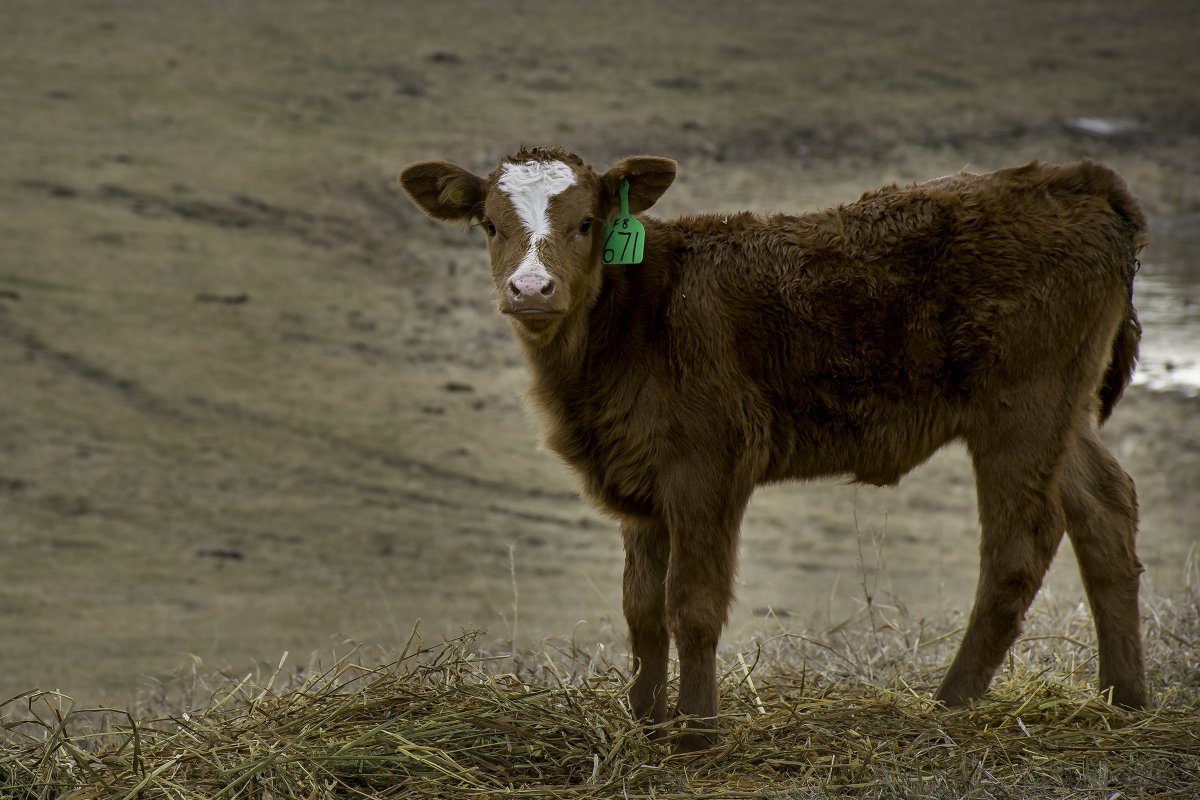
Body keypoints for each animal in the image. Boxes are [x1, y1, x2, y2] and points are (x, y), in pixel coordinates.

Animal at [399, 146, 1148, 751]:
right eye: (490, 224)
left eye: (587, 223)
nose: (531, 289)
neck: (632, 323)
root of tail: (1079, 178)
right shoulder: (639, 478)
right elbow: (641, 608)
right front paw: (643, 720)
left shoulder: (706, 467)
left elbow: (692, 603)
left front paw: (696, 732)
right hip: (1063, 412)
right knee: (1105, 511)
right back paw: (1126, 699)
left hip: (1019, 407)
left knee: (1019, 546)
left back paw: (950, 703)